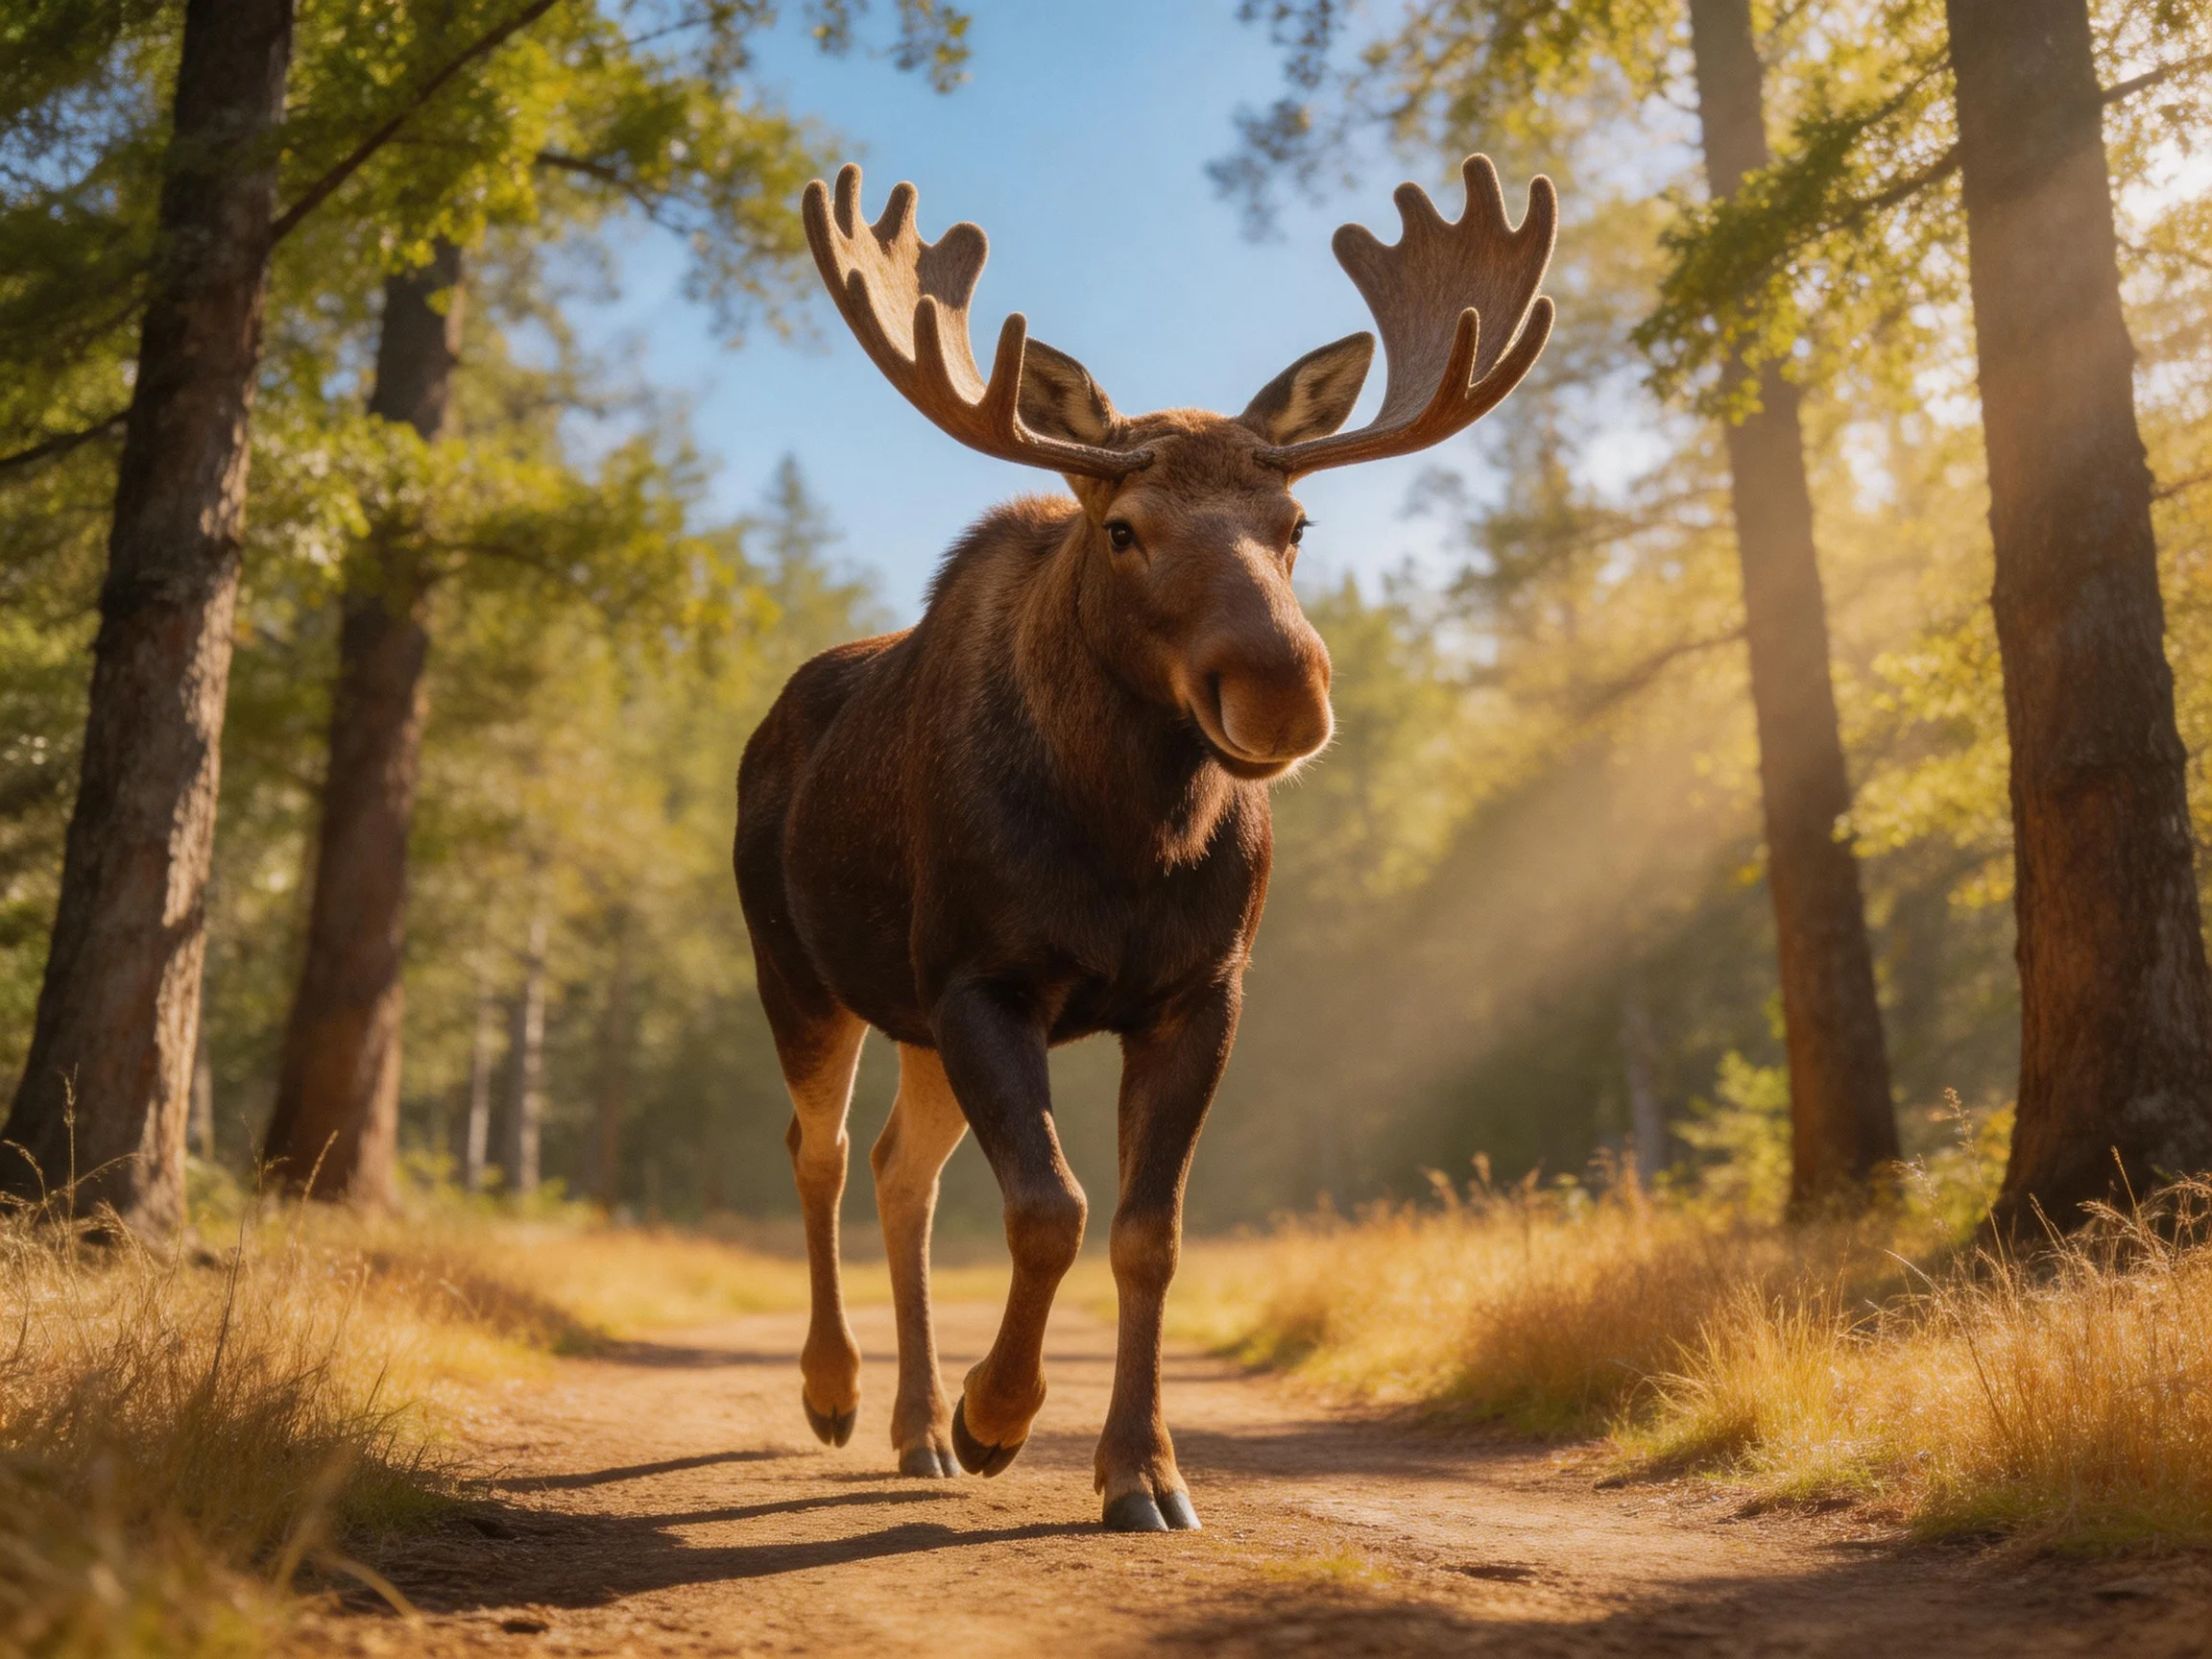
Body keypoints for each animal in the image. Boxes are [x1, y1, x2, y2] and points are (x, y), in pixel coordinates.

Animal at [734, 154, 1554, 1531]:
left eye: (1295, 527)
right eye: (1124, 527)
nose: (1282, 688)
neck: (1129, 843)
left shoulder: (1200, 990)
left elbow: (1145, 1231)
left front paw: (1143, 1472)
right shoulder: (981, 975)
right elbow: (1050, 1208)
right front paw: (1001, 1415)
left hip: (910, 1022)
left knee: (903, 1170)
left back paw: (915, 1426)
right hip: (801, 973)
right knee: (822, 1151)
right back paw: (839, 1394)